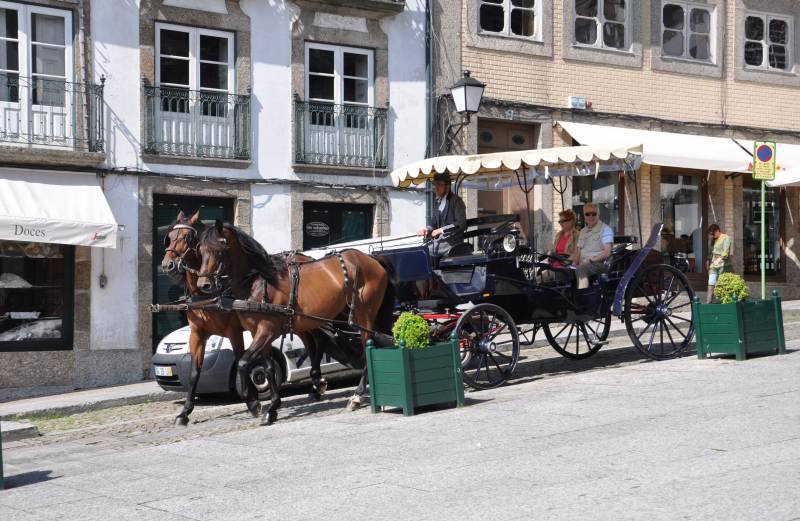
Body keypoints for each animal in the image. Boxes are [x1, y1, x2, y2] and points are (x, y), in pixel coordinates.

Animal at [194, 219, 394, 422]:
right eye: (200, 249)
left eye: (220, 248)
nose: (204, 285)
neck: (259, 282)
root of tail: (371, 260)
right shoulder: (259, 333)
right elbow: (268, 368)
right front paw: (273, 407)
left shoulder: (267, 331)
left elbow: (243, 363)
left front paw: (254, 404)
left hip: (364, 314)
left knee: (367, 347)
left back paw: (356, 395)